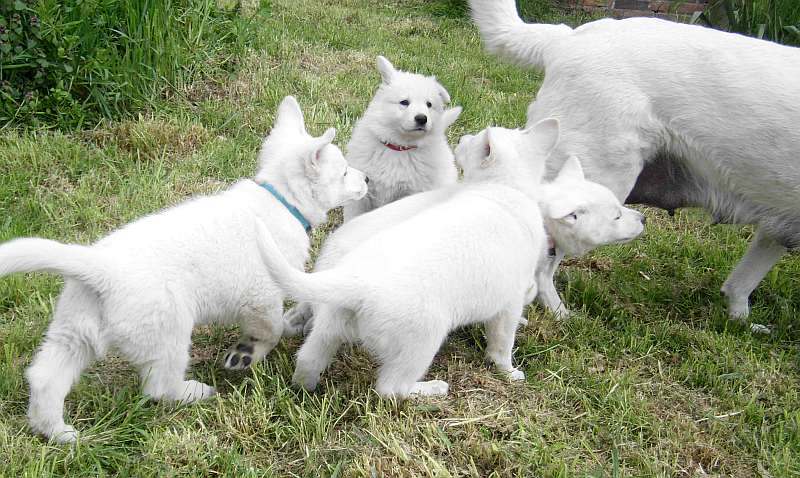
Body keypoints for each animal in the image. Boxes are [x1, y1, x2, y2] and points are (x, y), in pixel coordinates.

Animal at [0, 97, 368, 444]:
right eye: (344, 172)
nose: (367, 177)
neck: (281, 199)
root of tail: (101, 270)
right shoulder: (261, 296)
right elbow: (271, 329)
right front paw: (248, 354)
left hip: (74, 334)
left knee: (45, 378)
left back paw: (57, 432)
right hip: (169, 333)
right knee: (159, 387)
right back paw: (194, 392)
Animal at [260, 124, 644, 400]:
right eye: (615, 215)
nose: (641, 218)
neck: (508, 190)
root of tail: (354, 280)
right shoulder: (509, 298)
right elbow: (503, 343)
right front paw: (509, 372)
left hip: (330, 326)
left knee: (308, 358)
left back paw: (306, 389)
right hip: (420, 341)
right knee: (390, 389)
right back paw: (431, 390)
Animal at [342, 55, 462, 222]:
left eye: (429, 104)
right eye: (404, 102)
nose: (422, 119)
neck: (398, 148)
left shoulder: (409, 194)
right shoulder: (362, 190)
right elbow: (353, 217)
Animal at [468, 0, 800, 328]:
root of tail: (566, 39)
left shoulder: (776, 229)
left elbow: (741, 283)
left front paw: (740, 320)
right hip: (591, 184)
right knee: (540, 266)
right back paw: (560, 314)